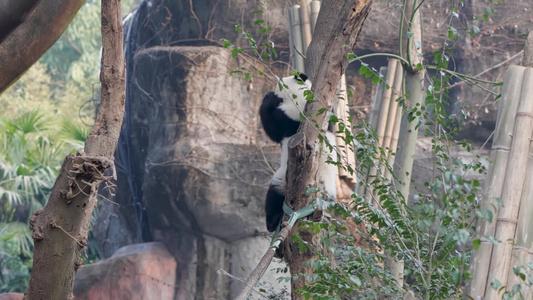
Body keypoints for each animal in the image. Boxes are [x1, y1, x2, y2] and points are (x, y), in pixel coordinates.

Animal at [260, 73, 338, 232]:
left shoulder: (286, 118)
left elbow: (271, 127)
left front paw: (269, 97)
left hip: (283, 180)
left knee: (274, 195)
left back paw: (271, 222)